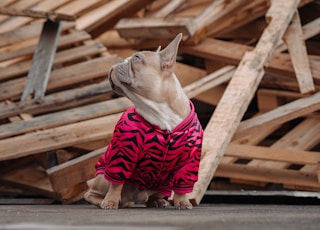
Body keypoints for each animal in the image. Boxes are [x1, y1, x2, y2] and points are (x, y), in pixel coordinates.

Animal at [84, 33, 202, 209]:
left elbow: (183, 184)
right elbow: (116, 183)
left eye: (137, 58)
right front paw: (110, 201)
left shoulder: (190, 159)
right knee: (91, 193)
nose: (119, 61)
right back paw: (106, 201)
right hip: (102, 178)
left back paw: (158, 201)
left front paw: (182, 202)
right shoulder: (122, 154)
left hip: (164, 186)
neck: (159, 111)